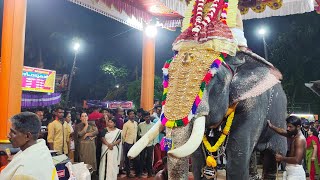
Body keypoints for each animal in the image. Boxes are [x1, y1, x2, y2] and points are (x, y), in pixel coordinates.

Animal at [129, 0, 288, 180]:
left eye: (212, 79)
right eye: (166, 77)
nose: (167, 149)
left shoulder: (252, 104)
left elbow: (237, 159)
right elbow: (198, 158)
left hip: (279, 117)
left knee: (273, 156)